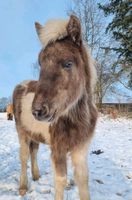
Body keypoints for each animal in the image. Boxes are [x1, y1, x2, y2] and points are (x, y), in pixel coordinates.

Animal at [13, 14, 98, 199]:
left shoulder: (80, 148)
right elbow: (60, 180)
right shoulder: (58, 149)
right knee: (23, 156)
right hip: (22, 132)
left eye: (68, 64)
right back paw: (23, 187)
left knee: (34, 151)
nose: (38, 111)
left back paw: (36, 176)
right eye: (40, 63)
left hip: (35, 134)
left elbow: (82, 179)